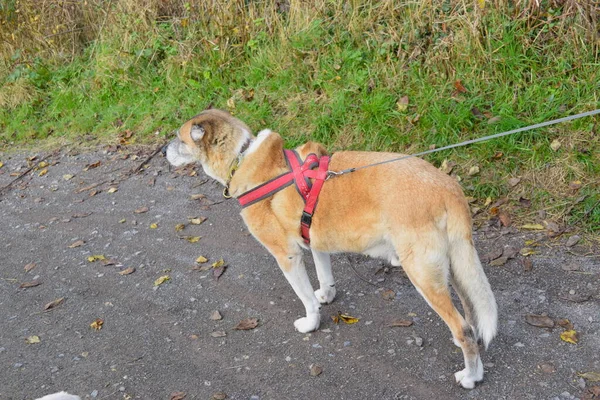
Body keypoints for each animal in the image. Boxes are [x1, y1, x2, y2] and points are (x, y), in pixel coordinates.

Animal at [164, 108, 496, 388]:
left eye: (180, 139)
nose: (164, 150)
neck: (242, 158)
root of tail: (448, 187)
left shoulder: (287, 256)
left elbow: (305, 298)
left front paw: (311, 322)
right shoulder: (315, 240)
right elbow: (324, 276)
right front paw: (326, 295)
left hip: (422, 274)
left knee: (463, 328)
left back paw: (470, 376)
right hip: (455, 267)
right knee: (470, 318)